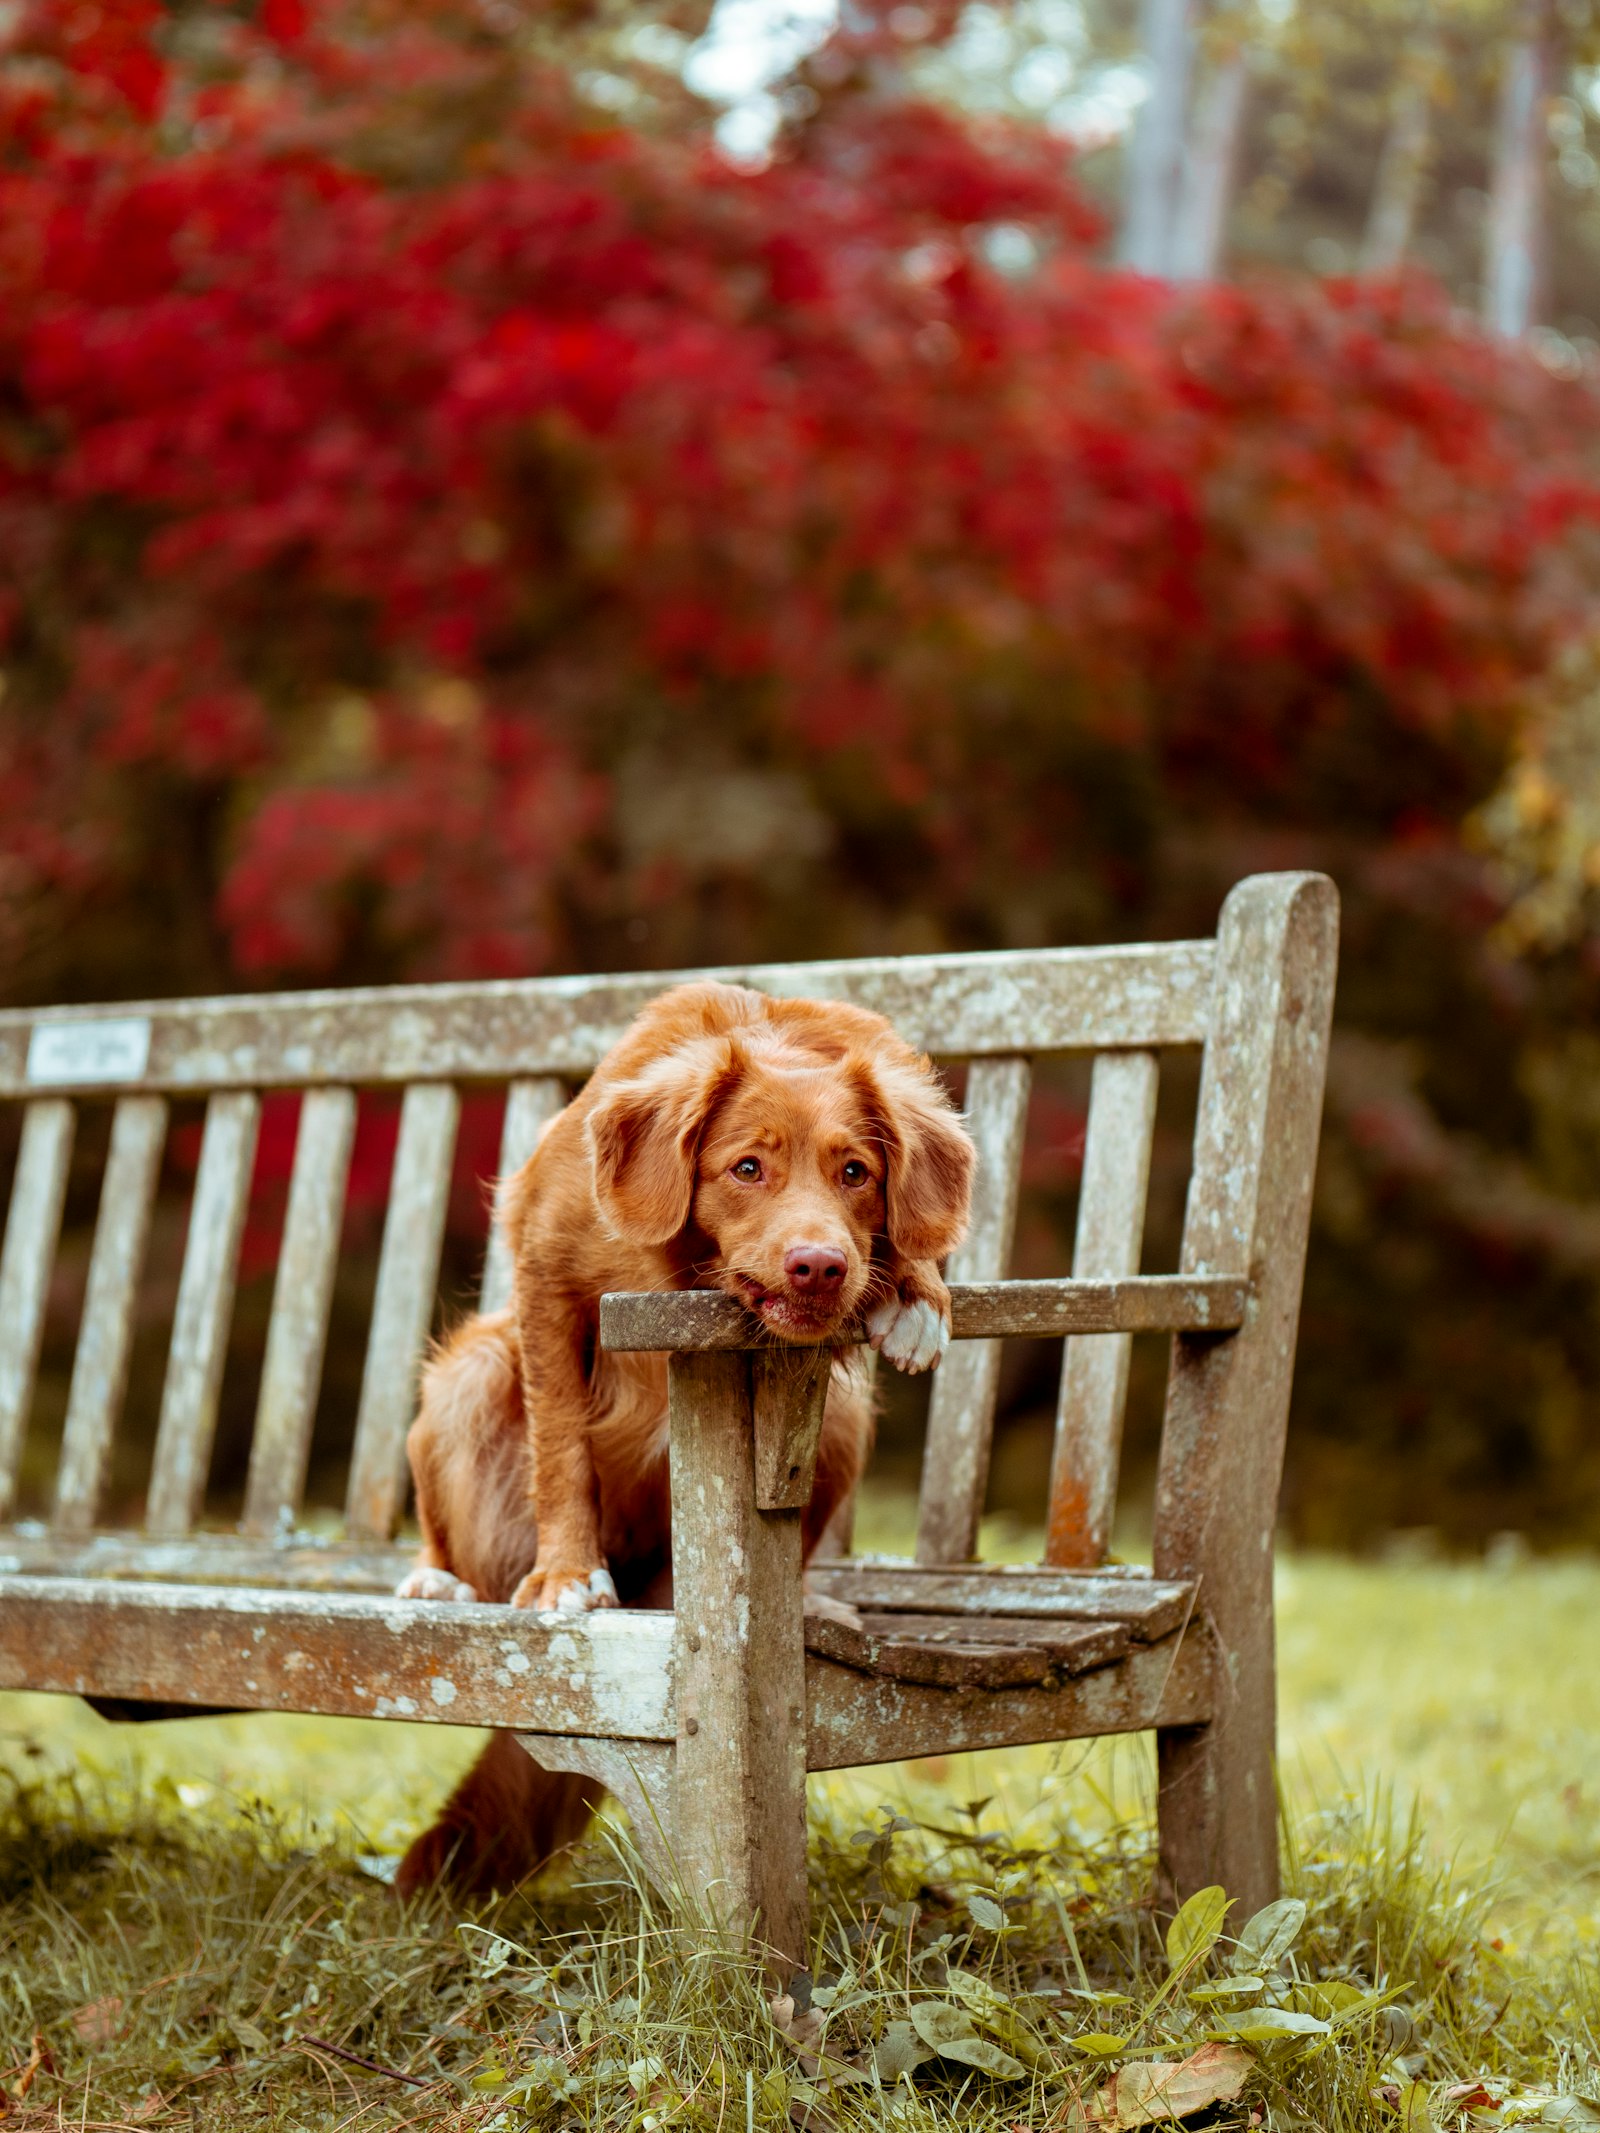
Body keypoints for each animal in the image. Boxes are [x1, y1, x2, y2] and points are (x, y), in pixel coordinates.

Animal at [398, 981, 977, 1902]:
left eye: (857, 1171)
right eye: (747, 1167)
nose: (820, 1266)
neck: (688, 1268)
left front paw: (919, 1294)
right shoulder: (545, 1271)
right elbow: (561, 1448)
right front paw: (567, 1574)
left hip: (842, 1415)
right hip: (471, 1370)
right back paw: (440, 1581)